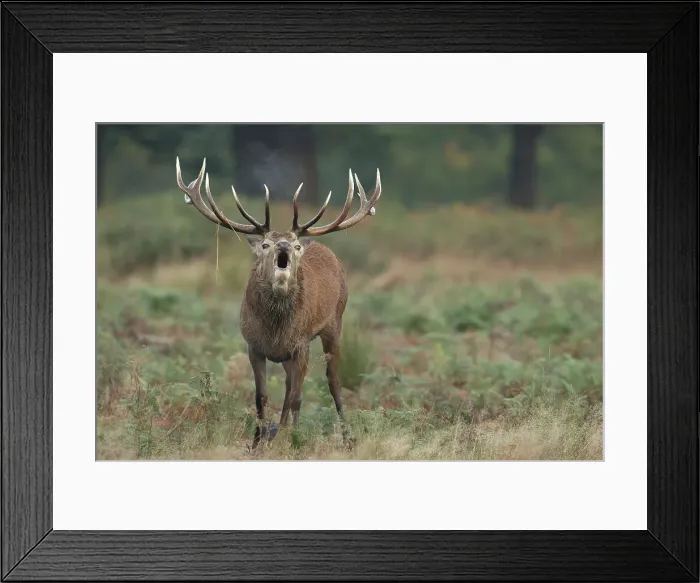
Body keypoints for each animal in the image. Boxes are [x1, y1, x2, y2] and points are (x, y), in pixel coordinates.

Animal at [175, 157, 382, 450]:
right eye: (265, 244)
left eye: (295, 246)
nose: (284, 244)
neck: (275, 330)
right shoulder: (254, 345)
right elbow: (262, 397)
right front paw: (257, 442)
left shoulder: (300, 344)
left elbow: (293, 396)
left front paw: (283, 438)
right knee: (290, 386)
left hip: (334, 325)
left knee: (331, 382)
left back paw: (346, 438)